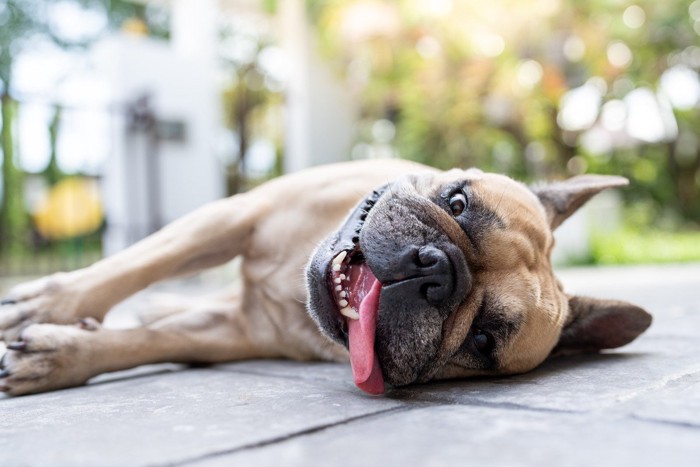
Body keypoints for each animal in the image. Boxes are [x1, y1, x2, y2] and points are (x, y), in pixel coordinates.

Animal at [0, 159, 652, 396]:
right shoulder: (235, 215)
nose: (437, 269)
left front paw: (61, 355)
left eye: (482, 340)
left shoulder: (232, 333)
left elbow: (146, 343)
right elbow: (135, 264)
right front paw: (45, 307)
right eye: (457, 201)